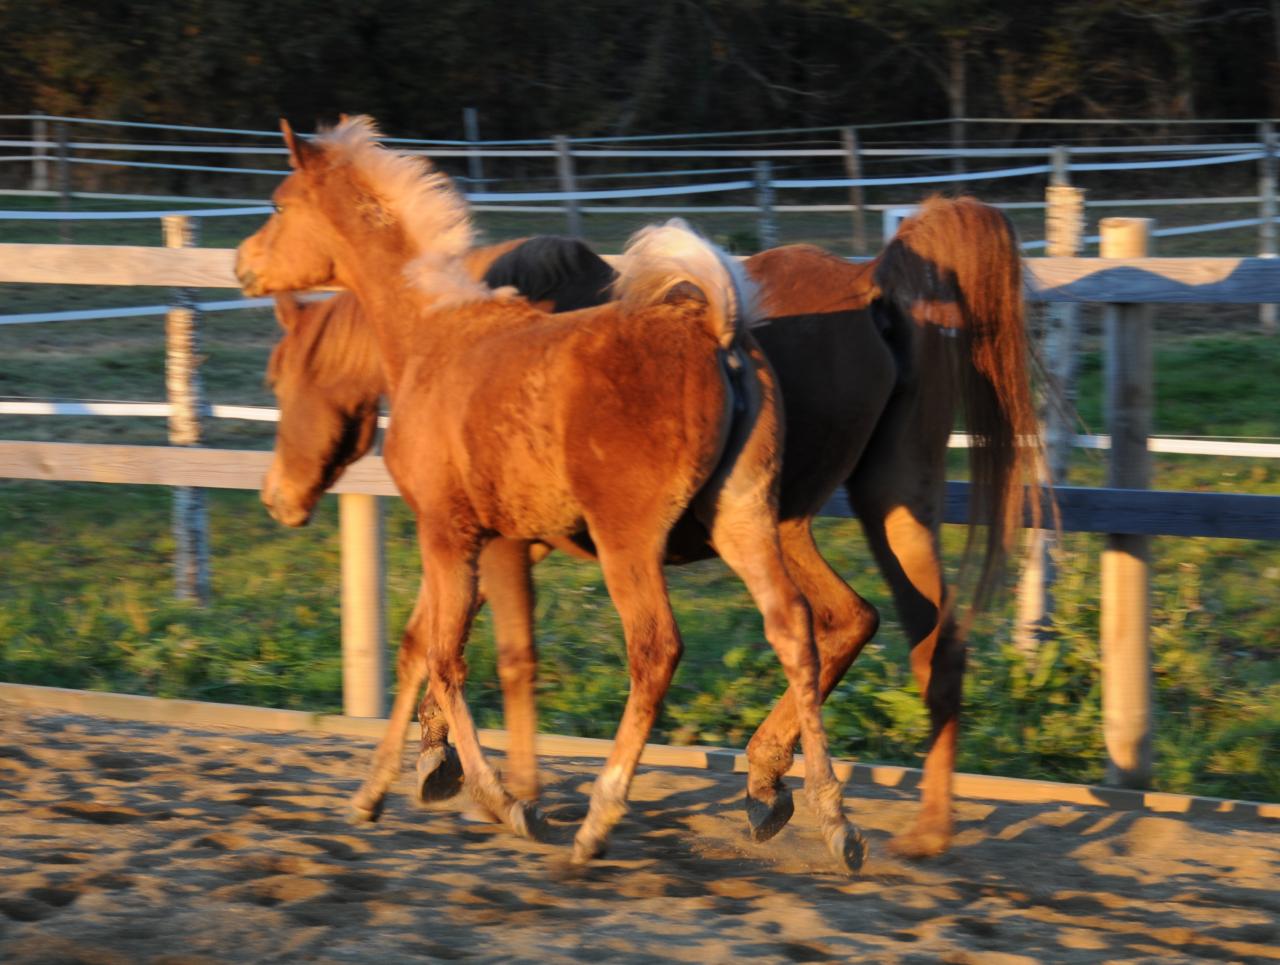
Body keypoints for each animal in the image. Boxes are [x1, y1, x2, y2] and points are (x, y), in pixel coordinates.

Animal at [236, 116, 865, 870]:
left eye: (277, 204)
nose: (241, 263)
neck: (430, 333)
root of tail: (712, 328)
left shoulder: (448, 531)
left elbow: (450, 658)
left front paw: (505, 802)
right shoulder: (490, 539)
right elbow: (423, 647)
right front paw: (375, 791)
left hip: (630, 542)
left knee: (656, 649)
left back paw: (599, 818)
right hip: (743, 520)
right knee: (796, 630)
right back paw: (830, 819)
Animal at [259, 191, 1039, 854]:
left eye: (280, 377)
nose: (276, 498)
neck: (455, 339)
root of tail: (871, 284)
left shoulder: (504, 539)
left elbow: (490, 649)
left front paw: (502, 788)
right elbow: (434, 632)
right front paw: (434, 759)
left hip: (791, 517)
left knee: (845, 624)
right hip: (881, 502)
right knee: (912, 636)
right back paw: (876, 815)